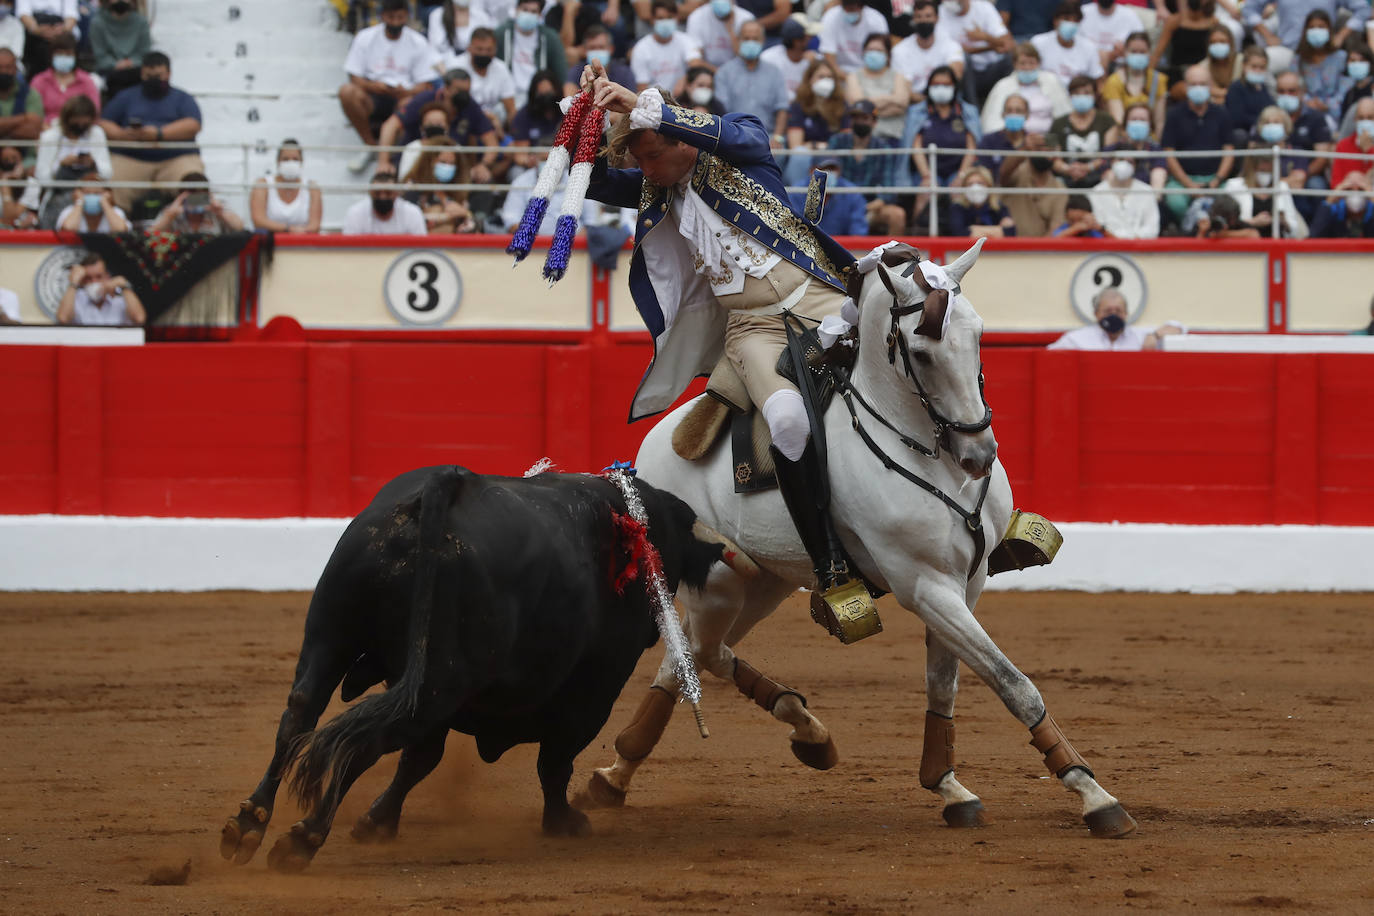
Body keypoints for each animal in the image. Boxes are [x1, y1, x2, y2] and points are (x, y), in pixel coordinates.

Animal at [221, 469, 752, 873]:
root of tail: (441, 489)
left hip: (333, 637)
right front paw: (563, 822)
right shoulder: (592, 693)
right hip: (437, 681)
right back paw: (302, 840)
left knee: (301, 713)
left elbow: (421, 759)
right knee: (365, 741)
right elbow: (554, 762)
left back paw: (248, 825)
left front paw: (377, 823)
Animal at [579, 238, 1137, 840]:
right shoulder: (924, 586)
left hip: (765, 581)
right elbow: (1013, 683)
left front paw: (949, 786)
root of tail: (650, 450)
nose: (978, 455)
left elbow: (945, 685)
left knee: (695, 656)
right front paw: (1095, 796)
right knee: (696, 653)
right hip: (719, 583)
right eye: (921, 354)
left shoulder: (964, 584)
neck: (927, 453)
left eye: (980, 334)